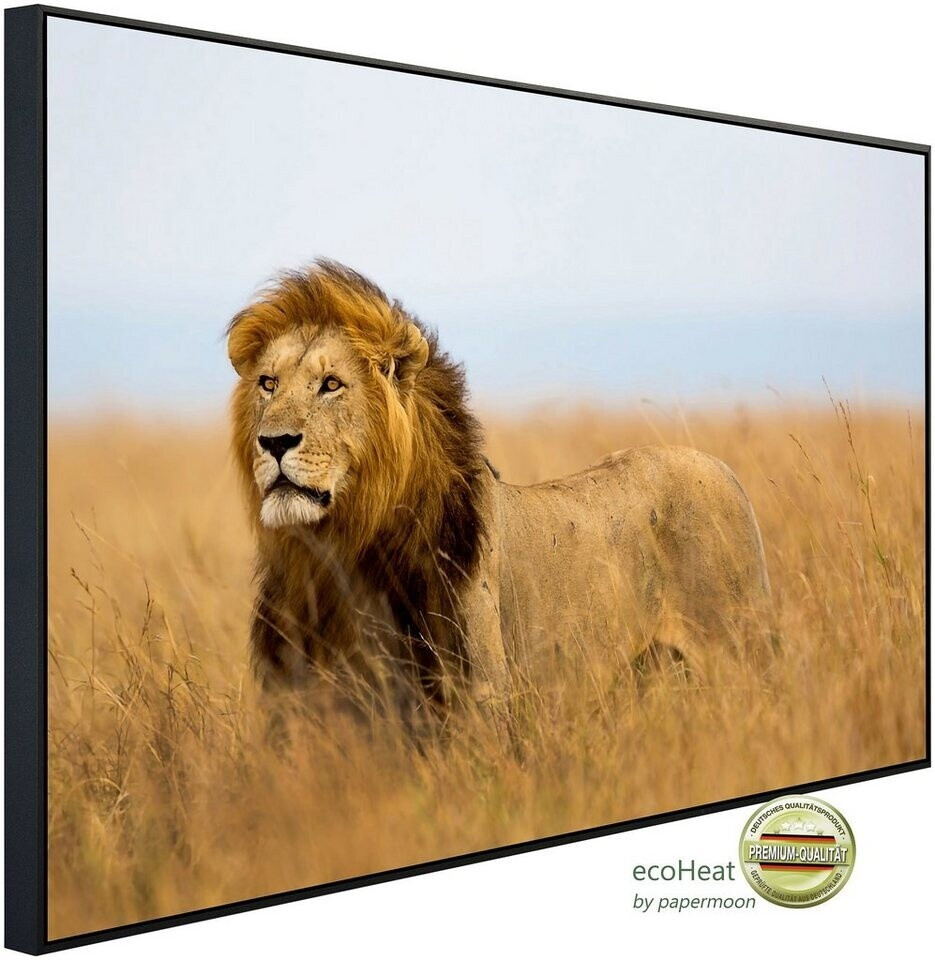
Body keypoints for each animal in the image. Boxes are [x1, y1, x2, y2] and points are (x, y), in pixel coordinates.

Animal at [227, 260, 771, 727]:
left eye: (331, 384)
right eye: (268, 383)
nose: (274, 442)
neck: (336, 554)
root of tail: (725, 469)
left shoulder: (479, 699)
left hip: (738, 647)